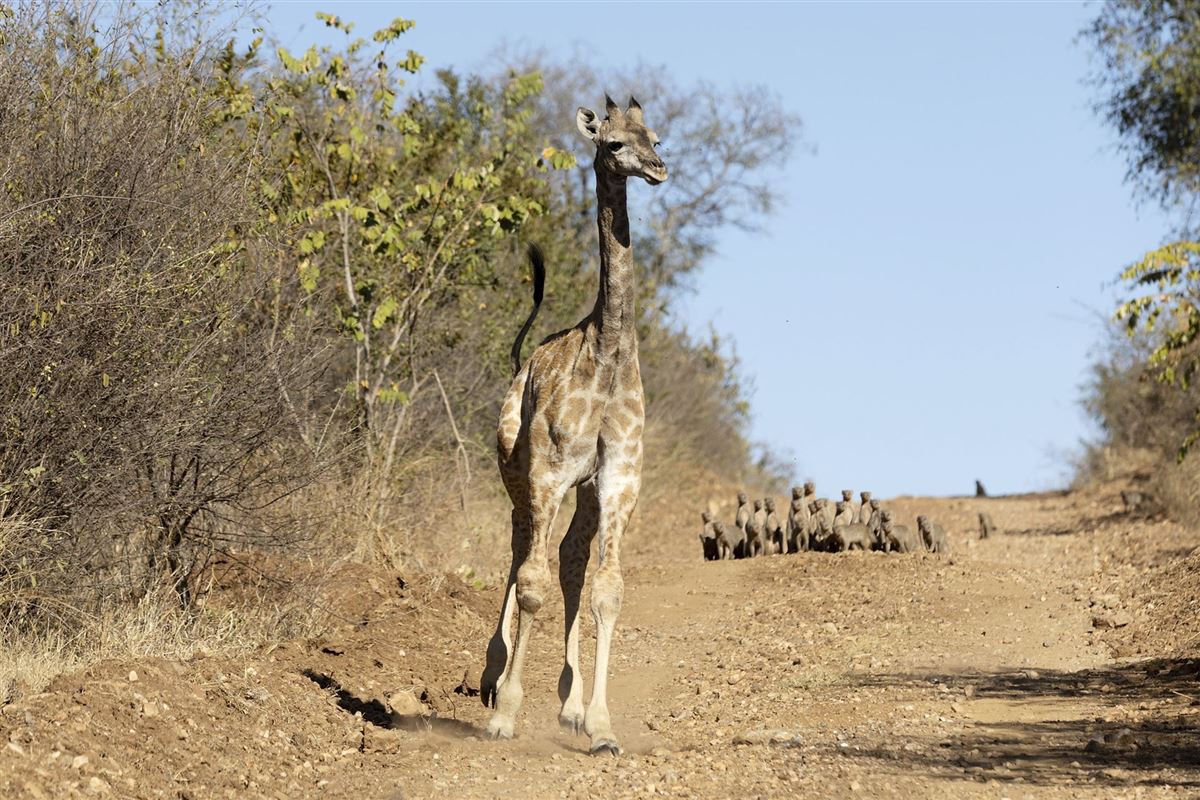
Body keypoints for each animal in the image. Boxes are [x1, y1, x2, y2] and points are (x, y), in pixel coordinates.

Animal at [479, 95, 667, 755]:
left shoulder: (617, 478)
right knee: (520, 555)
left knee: (566, 560)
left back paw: (571, 703)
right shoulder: (549, 469)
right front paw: (506, 714)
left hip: (579, 492)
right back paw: (492, 677)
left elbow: (605, 588)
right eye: (613, 144)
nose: (658, 169)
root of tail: (521, 362)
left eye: (655, 136)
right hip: (517, 474)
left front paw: (601, 725)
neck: (607, 351)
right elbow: (531, 581)